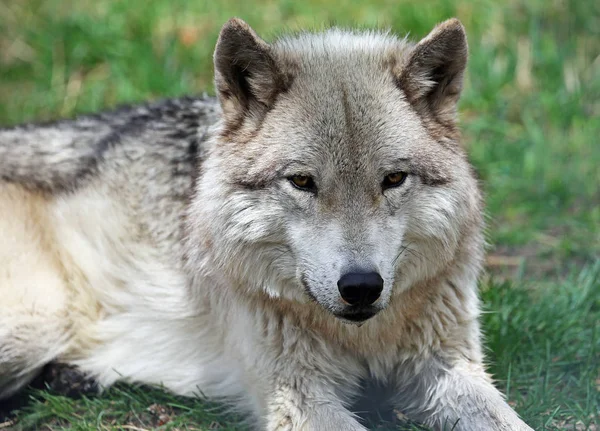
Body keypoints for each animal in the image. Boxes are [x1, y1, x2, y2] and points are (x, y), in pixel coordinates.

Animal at [0, 17, 536, 431]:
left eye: (393, 179)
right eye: (301, 181)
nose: (361, 286)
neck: (360, 337)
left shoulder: (449, 365)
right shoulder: (299, 393)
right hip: (38, 321)